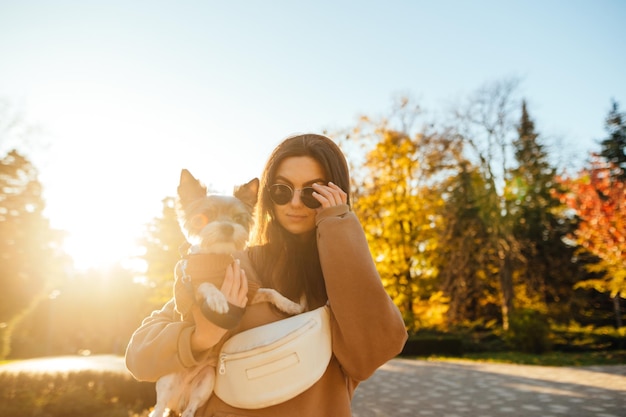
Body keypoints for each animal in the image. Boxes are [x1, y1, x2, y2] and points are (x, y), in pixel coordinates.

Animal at [152, 168, 304, 416]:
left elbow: (270, 291)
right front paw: (218, 299)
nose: (227, 227)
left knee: (189, 410)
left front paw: (290, 304)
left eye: (238, 219)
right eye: (207, 216)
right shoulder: (187, 299)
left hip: (206, 381)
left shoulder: (248, 294)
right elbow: (204, 285)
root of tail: (180, 394)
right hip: (167, 381)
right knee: (158, 408)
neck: (216, 259)